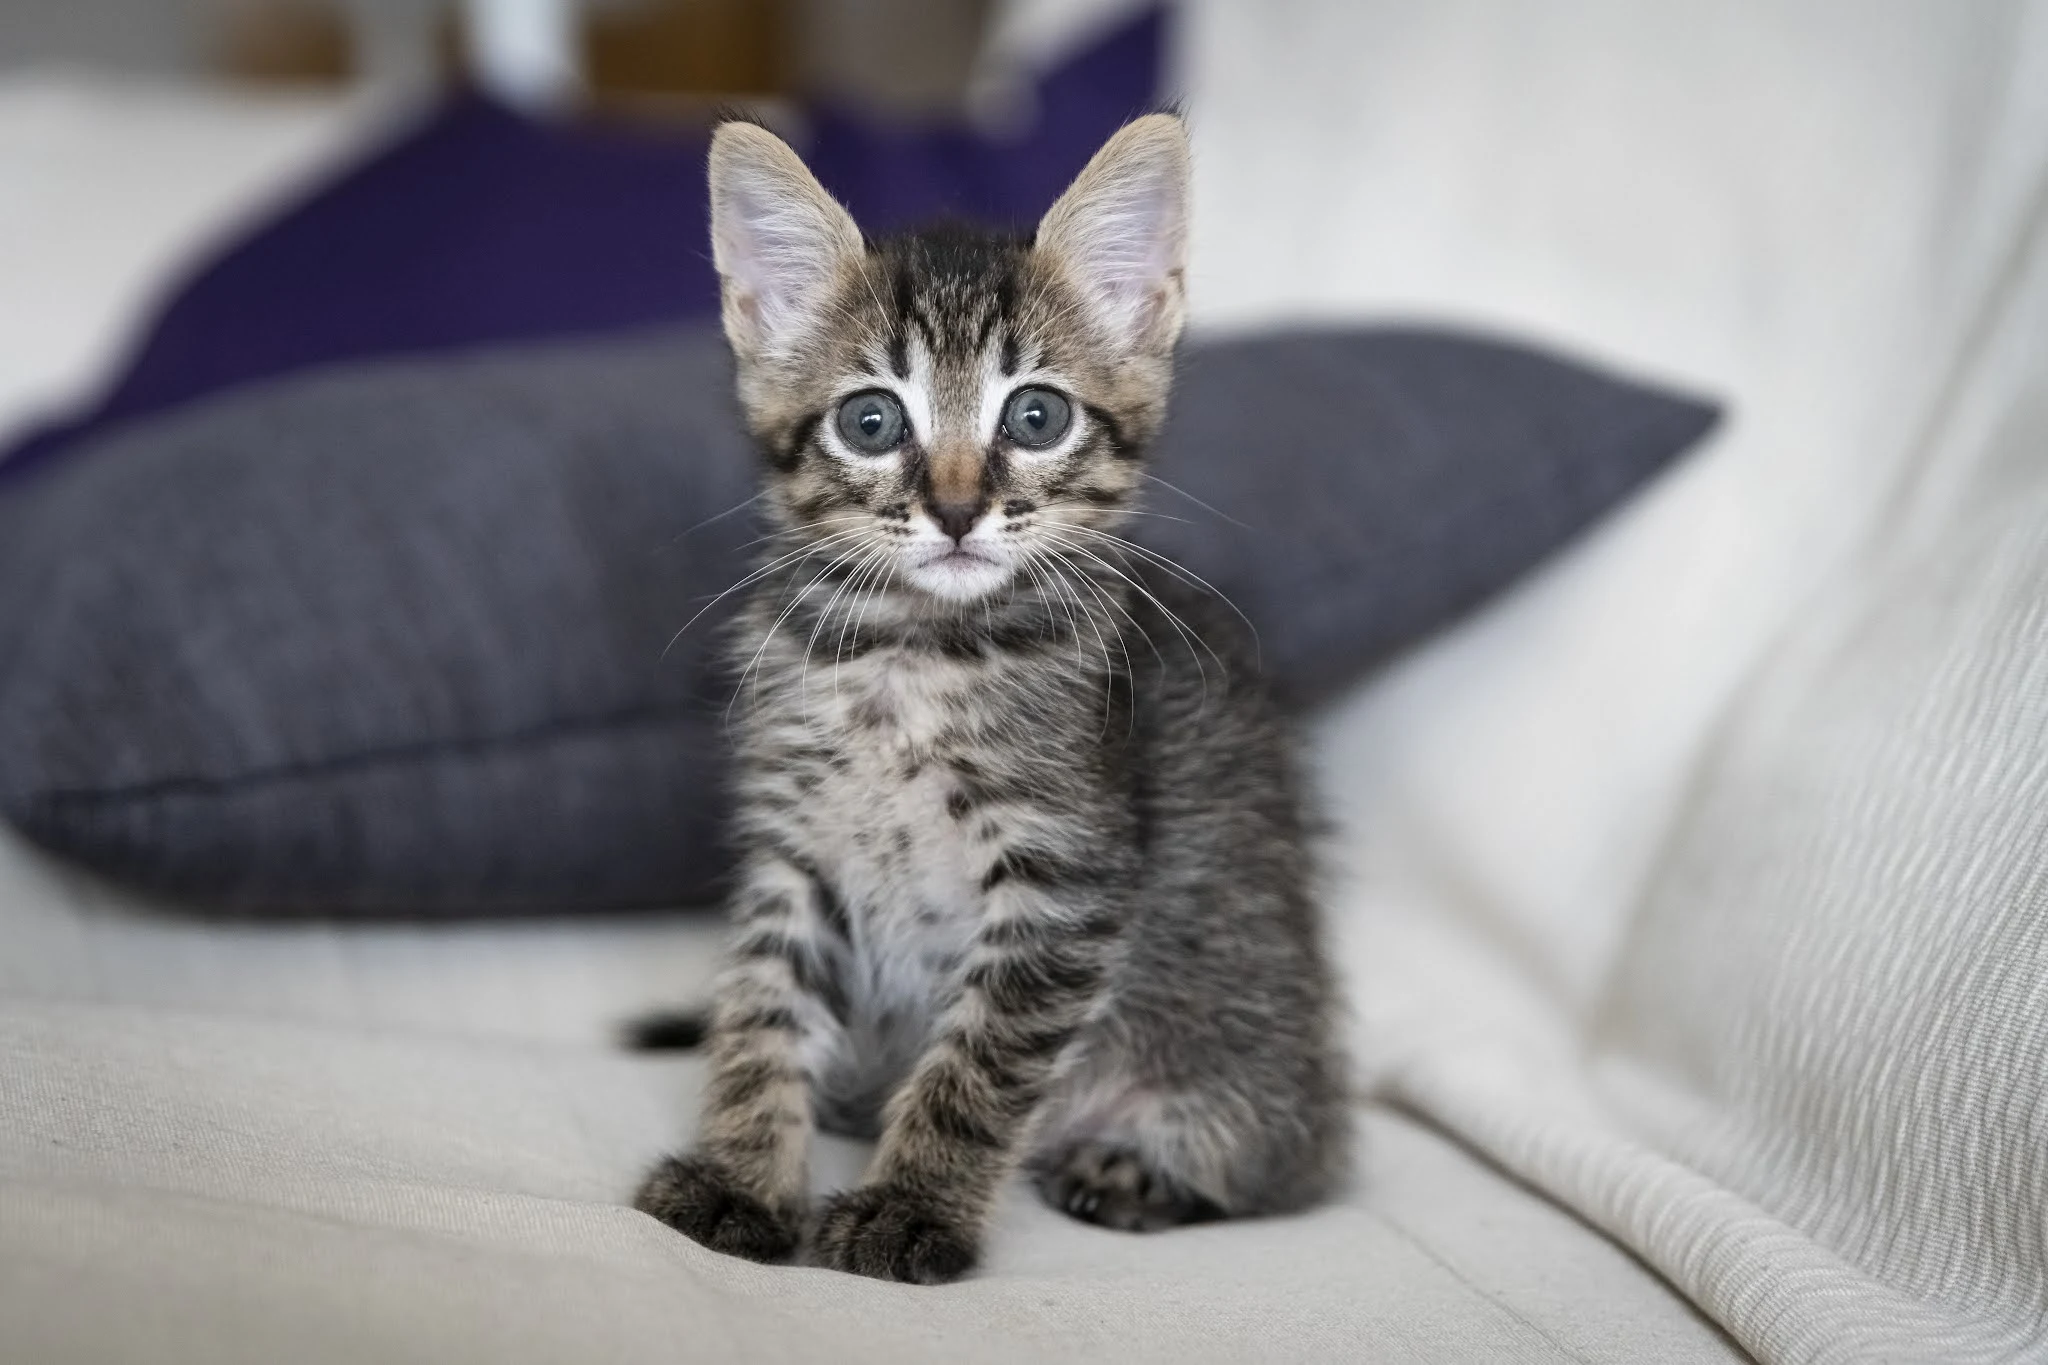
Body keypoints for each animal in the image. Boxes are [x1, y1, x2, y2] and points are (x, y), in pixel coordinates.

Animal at [630, 114, 1351, 1285]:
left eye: (1038, 415)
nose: (959, 508)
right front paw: (740, 1175)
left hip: (1250, 1044)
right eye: (872, 421)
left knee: (1278, 1164)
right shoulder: (795, 847)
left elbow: (976, 1067)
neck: (914, 655)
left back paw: (1133, 1168)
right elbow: (758, 1013)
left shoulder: (1066, 876)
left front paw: (909, 1208)